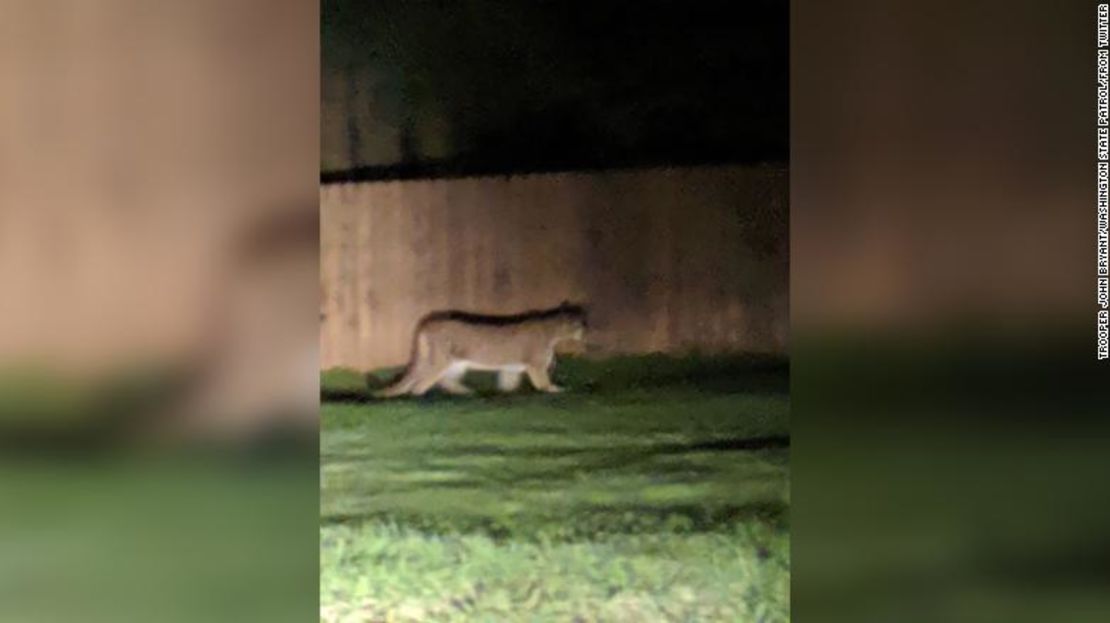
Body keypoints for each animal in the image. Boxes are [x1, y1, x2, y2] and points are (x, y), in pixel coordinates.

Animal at [375, 302, 590, 397]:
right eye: (581, 323)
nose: (586, 330)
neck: (552, 330)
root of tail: (427, 322)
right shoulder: (536, 365)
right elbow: (542, 383)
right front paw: (555, 389)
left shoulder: (511, 368)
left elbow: (508, 383)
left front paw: (505, 393)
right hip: (440, 360)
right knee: (420, 385)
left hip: (455, 364)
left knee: (443, 381)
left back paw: (466, 392)